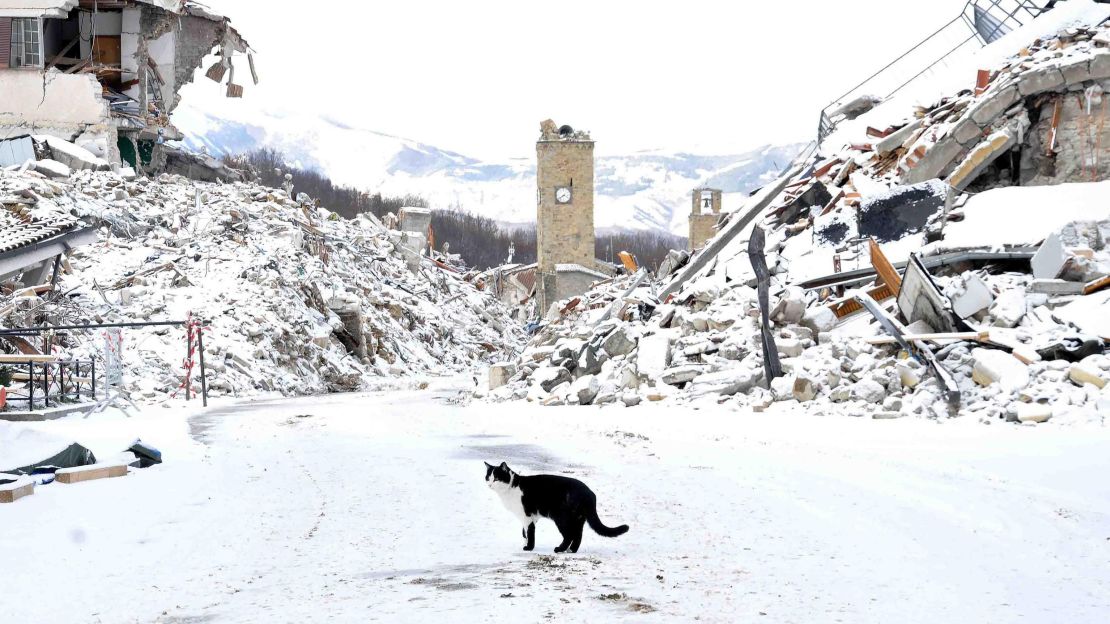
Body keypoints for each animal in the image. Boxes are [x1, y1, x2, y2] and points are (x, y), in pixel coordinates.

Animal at [483, 459, 630, 550]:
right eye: (488, 478)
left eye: (496, 478)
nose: (490, 484)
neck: (511, 488)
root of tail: (589, 493)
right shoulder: (528, 518)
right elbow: (524, 533)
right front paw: (525, 544)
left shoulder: (527, 516)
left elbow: (529, 532)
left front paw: (528, 548)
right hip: (578, 519)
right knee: (578, 535)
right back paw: (571, 550)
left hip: (562, 518)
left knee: (569, 535)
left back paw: (559, 549)